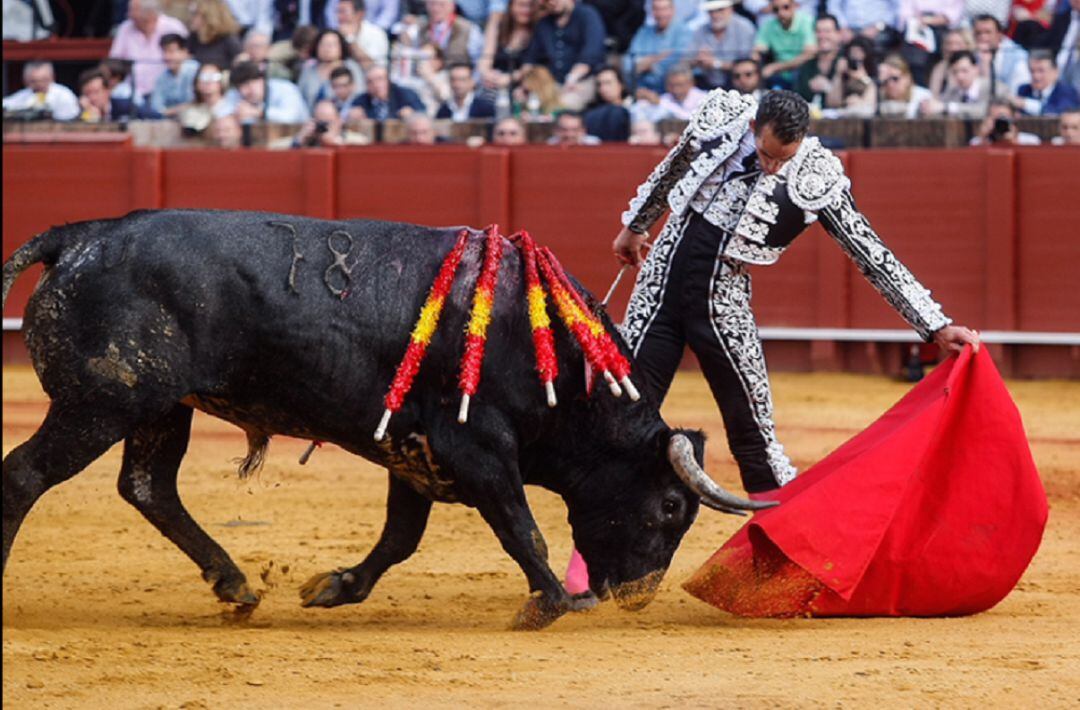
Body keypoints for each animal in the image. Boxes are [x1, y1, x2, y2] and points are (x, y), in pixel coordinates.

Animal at [4, 207, 773, 626]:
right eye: (670, 506)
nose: (638, 598)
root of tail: (82, 237)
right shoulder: (476, 448)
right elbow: (521, 527)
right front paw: (554, 601)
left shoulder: (417, 453)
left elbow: (400, 538)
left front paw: (334, 587)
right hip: (102, 402)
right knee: (25, 475)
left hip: (159, 408)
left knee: (148, 487)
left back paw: (236, 584)